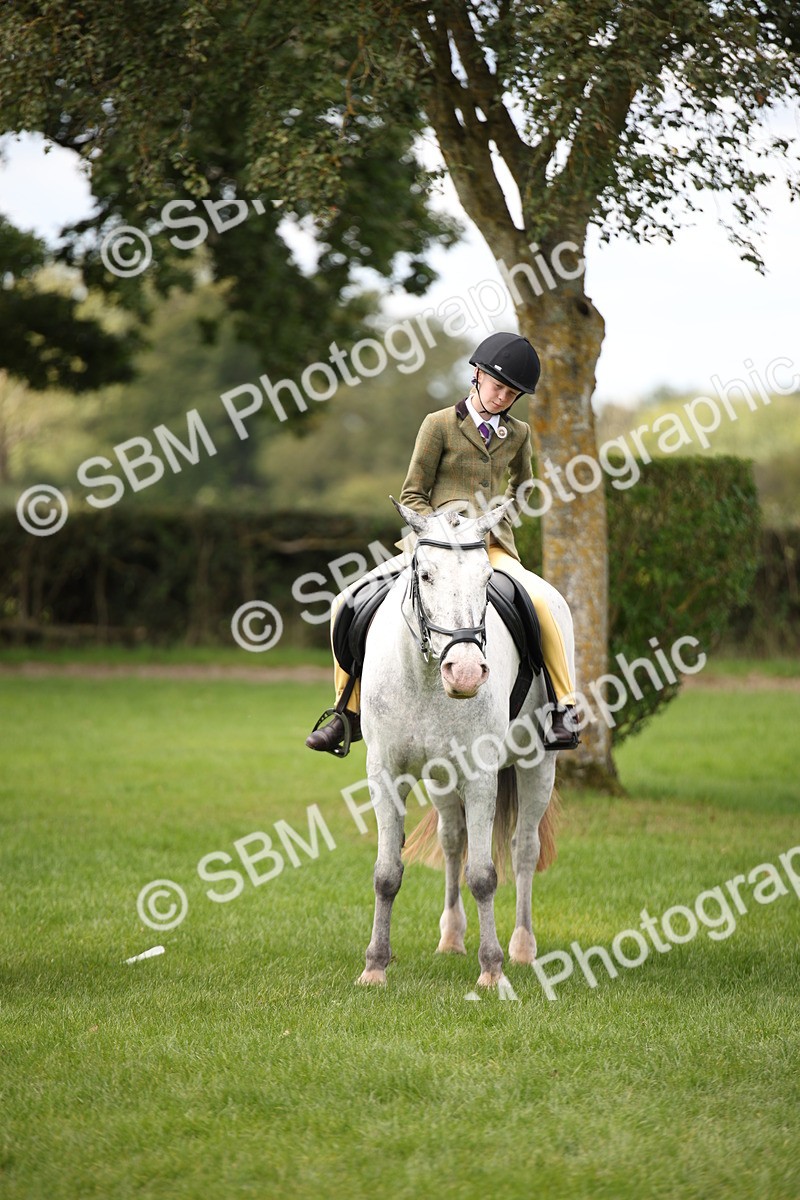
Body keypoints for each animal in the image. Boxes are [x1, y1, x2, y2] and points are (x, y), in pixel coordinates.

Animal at [356, 497, 573, 990]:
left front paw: (491, 970)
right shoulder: (385, 773)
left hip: (538, 765)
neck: (426, 679)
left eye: (486, 579)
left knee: (523, 849)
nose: (467, 672)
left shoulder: (480, 774)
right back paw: (451, 937)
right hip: (440, 777)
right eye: (425, 575)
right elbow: (387, 873)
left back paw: (522, 947)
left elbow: (484, 875)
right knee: (453, 840)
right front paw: (375, 966)